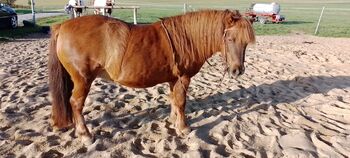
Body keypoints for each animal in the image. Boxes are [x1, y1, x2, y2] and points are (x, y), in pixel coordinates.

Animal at [47, 9, 254, 144]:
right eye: (230, 39)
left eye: (245, 43)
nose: (237, 70)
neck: (188, 38)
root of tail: (63, 25)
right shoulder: (183, 78)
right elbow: (181, 102)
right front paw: (183, 127)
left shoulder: (174, 79)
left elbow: (174, 100)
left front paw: (173, 121)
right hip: (83, 79)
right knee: (76, 103)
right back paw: (85, 135)